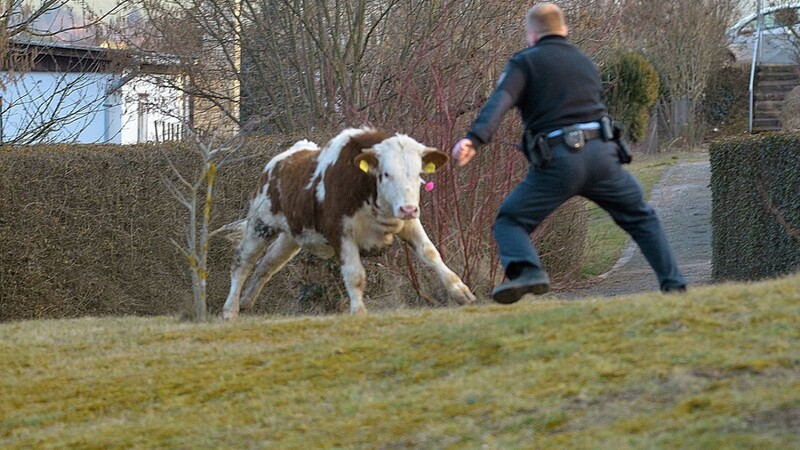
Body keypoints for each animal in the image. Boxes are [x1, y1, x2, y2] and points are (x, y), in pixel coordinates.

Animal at [217, 125, 476, 320]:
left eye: (418, 174)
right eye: (386, 173)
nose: (408, 208)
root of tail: (285, 157)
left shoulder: (410, 224)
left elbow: (430, 253)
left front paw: (460, 291)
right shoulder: (340, 232)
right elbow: (354, 274)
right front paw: (359, 311)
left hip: (291, 236)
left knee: (268, 264)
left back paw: (246, 300)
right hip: (260, 224)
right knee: (243, 262)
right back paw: (230, 309)